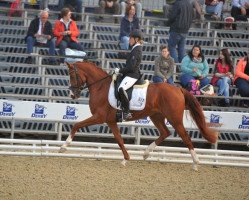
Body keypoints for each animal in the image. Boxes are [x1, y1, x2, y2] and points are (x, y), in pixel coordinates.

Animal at [60, 61, 218, 170]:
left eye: (72, 75)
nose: (72, 95)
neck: (100, 87)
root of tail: (178, 89)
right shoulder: (111, 121)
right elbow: (119, 139)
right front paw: (126, 159)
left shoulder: (99, 117)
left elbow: (76, 125)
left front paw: (64, 147)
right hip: (156, 116)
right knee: (165, 133)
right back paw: (146, 153)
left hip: (174, 119)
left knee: (185, 137)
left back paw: (196, 163)